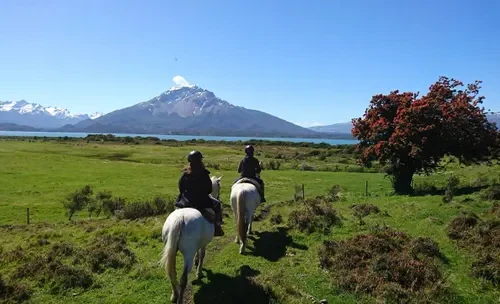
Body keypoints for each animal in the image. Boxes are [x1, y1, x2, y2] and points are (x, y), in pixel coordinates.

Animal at [160, 176, 223, 304]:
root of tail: (179, 219)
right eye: (219, 186)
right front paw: (199, 272)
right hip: (187, 254)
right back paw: (180, 299)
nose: (219, 197)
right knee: (183, 279)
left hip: (171, 250)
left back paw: (174, 295)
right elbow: (202, 254)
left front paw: (196, 261)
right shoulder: (204, 243)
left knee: (172, 273)